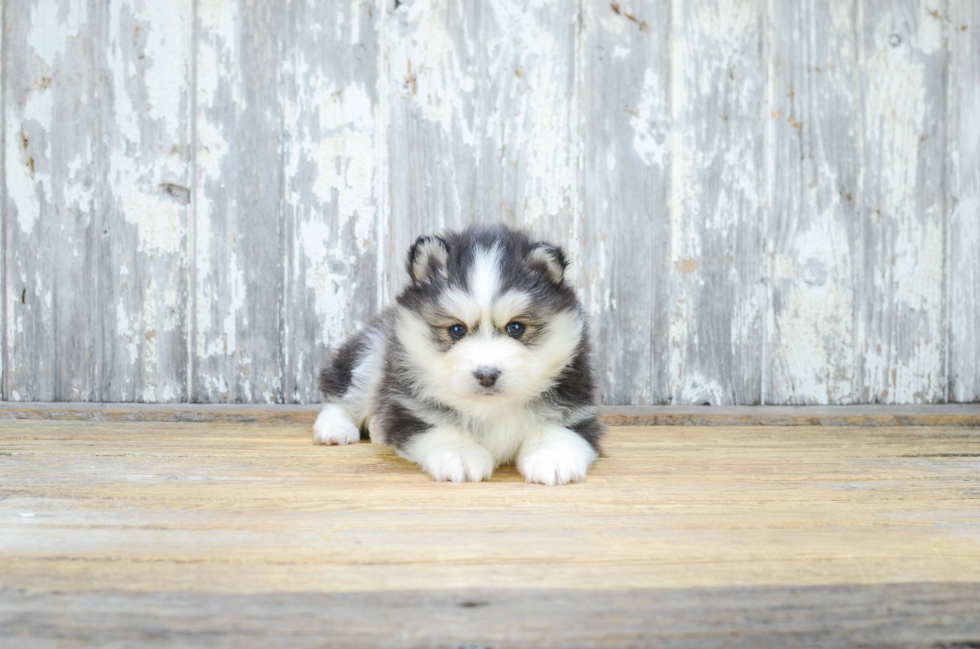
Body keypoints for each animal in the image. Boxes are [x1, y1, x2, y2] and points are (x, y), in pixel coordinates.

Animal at [314, 223, 604, 480]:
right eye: (456, 330)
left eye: (516, 327)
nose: (487, 375)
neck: (491, 409)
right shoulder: (411, 407)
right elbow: (439, 427)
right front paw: (460, 454)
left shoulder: (576, 407)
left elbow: (557, 430)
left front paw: (552, 456)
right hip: (373, 353)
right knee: (340, 395)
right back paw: (336, 428)